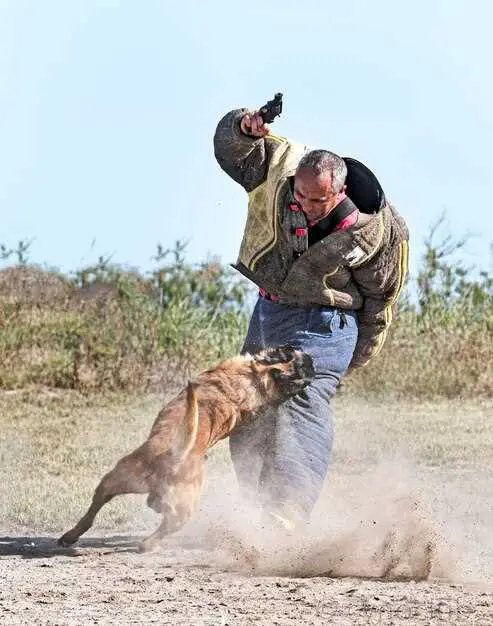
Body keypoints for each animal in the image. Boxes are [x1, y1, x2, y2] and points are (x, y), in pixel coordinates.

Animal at [56, 346, 312, 552]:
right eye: (299, 365)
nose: (312, 360)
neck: (256, 382)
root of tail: (176, 456)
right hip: (141, 490)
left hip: (130, 482)